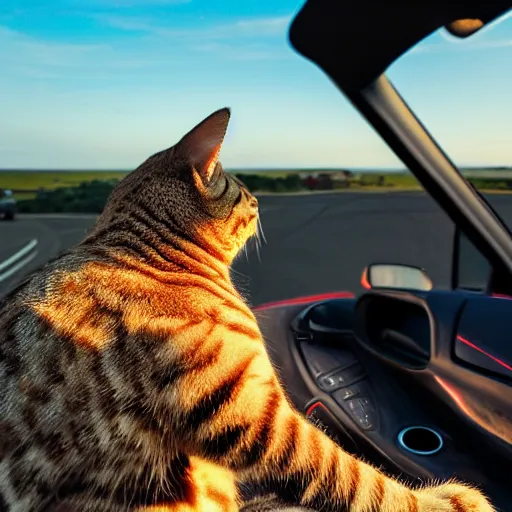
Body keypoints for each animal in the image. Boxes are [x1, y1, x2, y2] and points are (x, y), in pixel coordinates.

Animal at [0, 106, 496, 510]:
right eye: (242, 189)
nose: (259, 202)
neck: (143, 254)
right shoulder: (258, 416)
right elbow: (357, 478)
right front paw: (442, 502)